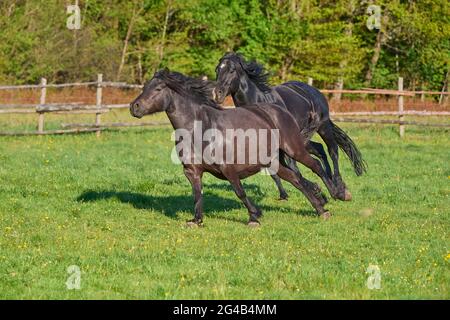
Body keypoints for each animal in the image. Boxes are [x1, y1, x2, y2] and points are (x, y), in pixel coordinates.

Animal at [130, 69, 342, 226]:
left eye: (158, 88)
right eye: (145, 86)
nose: (134, 107)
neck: (201, 128)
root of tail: (279, 110)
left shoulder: (228, 168)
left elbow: (239, 191)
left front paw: (254, 217)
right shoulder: (192, 171)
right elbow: (197, 194)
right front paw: (196, 220)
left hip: (294, 148)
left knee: (315, 164)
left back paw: (336, 194)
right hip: (273, 161)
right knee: (295, 179)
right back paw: (320, 209)